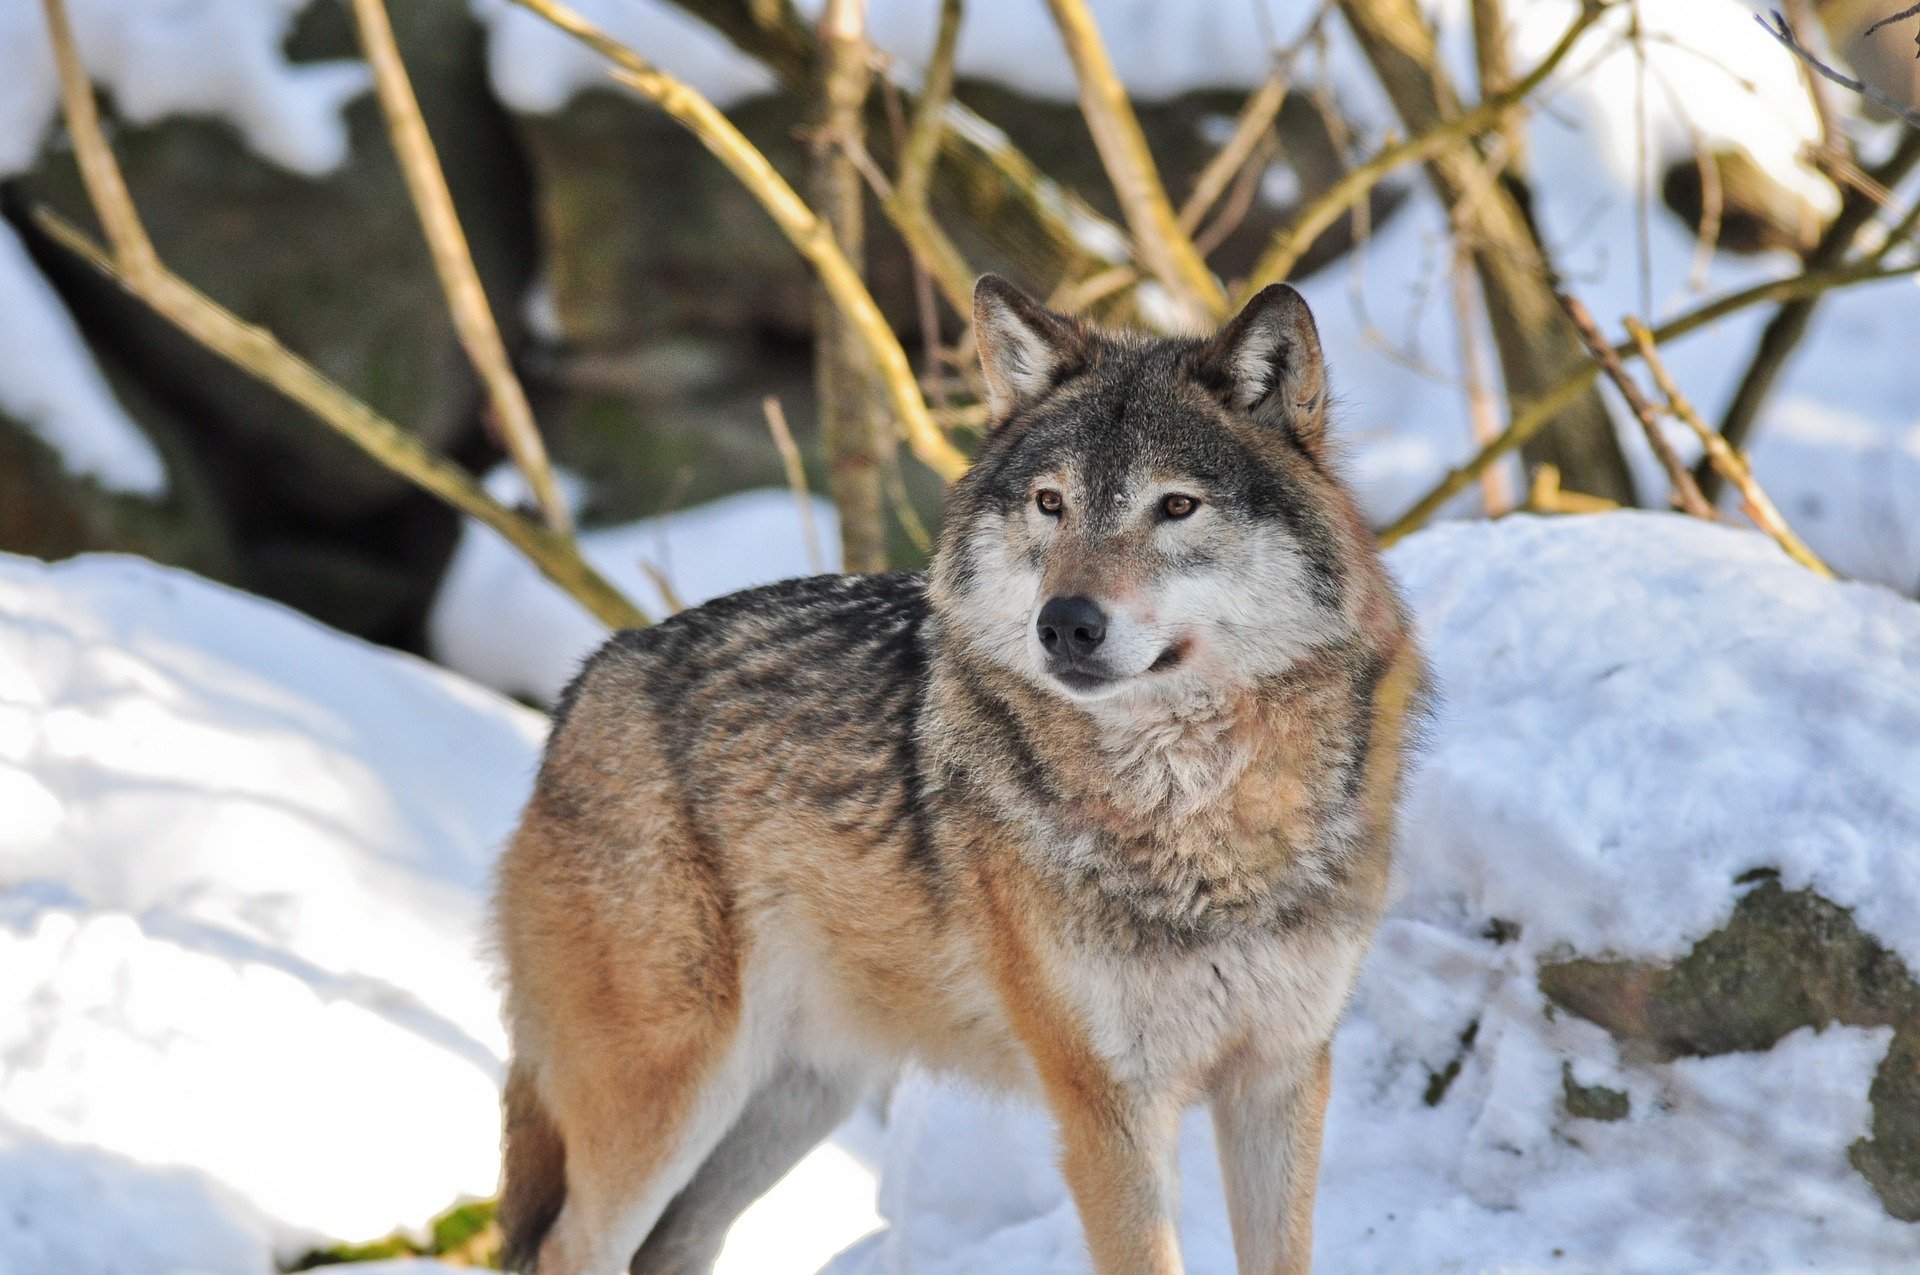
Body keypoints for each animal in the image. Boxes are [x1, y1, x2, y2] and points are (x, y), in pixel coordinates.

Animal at [492, 275, 1426, 1275]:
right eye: (1052, 503)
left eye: (1176, 507)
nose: (1065, 623)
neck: (1197, 818)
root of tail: (590, 678)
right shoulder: (1108, 1105)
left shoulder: (1281, 1076)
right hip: (672, 1092)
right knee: (568, 1249)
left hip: (791, 1101)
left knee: (671, 1247)